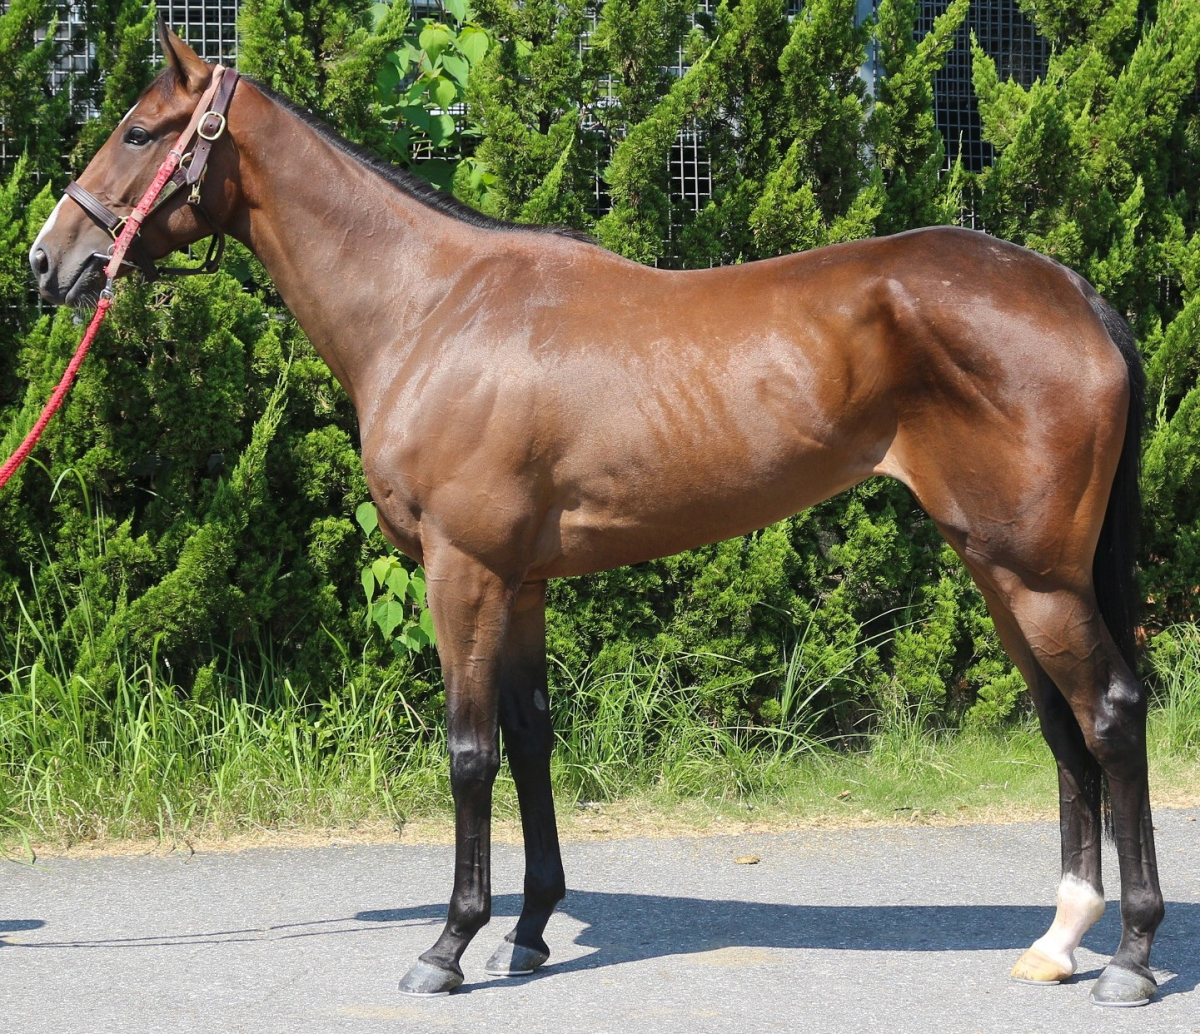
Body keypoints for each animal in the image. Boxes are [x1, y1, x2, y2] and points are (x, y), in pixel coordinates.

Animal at [28, 21, 1163, 1006]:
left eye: (139, 132)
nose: (48, 260)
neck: (432, 309)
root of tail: (1074, 294)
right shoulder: (523, 581)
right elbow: (532, 739)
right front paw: (530, 930)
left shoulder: (464, 570)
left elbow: (469, 752)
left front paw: (448, 945)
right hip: (997, 565)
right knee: (1062, 725)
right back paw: (1059, 939)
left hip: (1037, 574)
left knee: (1110, 712)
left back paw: (1131, 956)